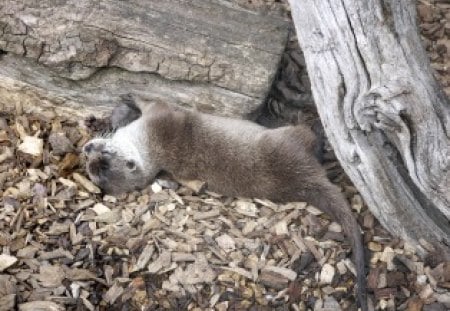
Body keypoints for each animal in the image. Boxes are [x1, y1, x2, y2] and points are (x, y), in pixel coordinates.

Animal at [82, 97, 368, 311]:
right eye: (95, 165)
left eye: (102, 159)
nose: (87, 150)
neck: (150, 145)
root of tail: (303, 176)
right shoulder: (161, 117)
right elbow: (154, 101)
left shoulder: (157, 121)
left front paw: (121, 107)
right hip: (289, 140)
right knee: (310, 138)